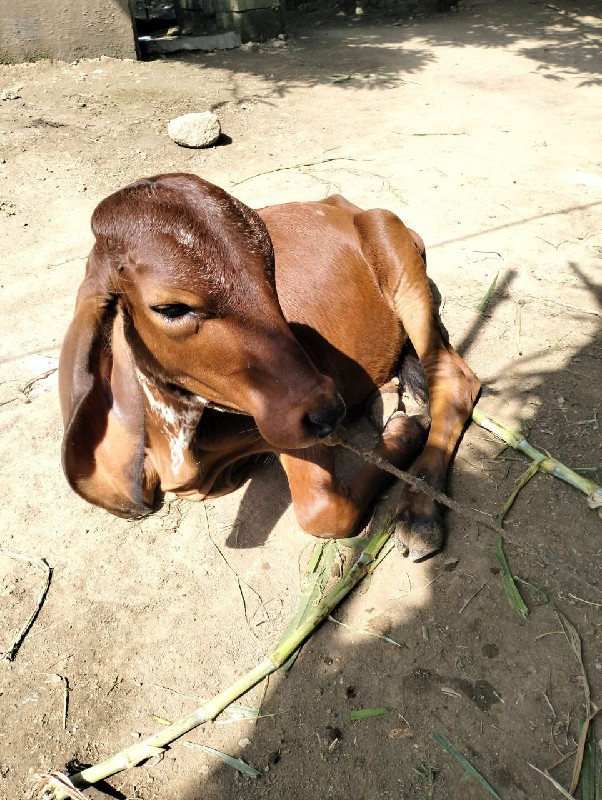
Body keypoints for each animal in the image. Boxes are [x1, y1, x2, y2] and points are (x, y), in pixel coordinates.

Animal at [58, 173, 476, 564]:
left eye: (270, 270)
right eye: (171, 308)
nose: (328, 411)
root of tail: (344, 205)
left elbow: (323, 512)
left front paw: (404, 433)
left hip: (397, 258)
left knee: (454, 379)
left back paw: (419, 512)